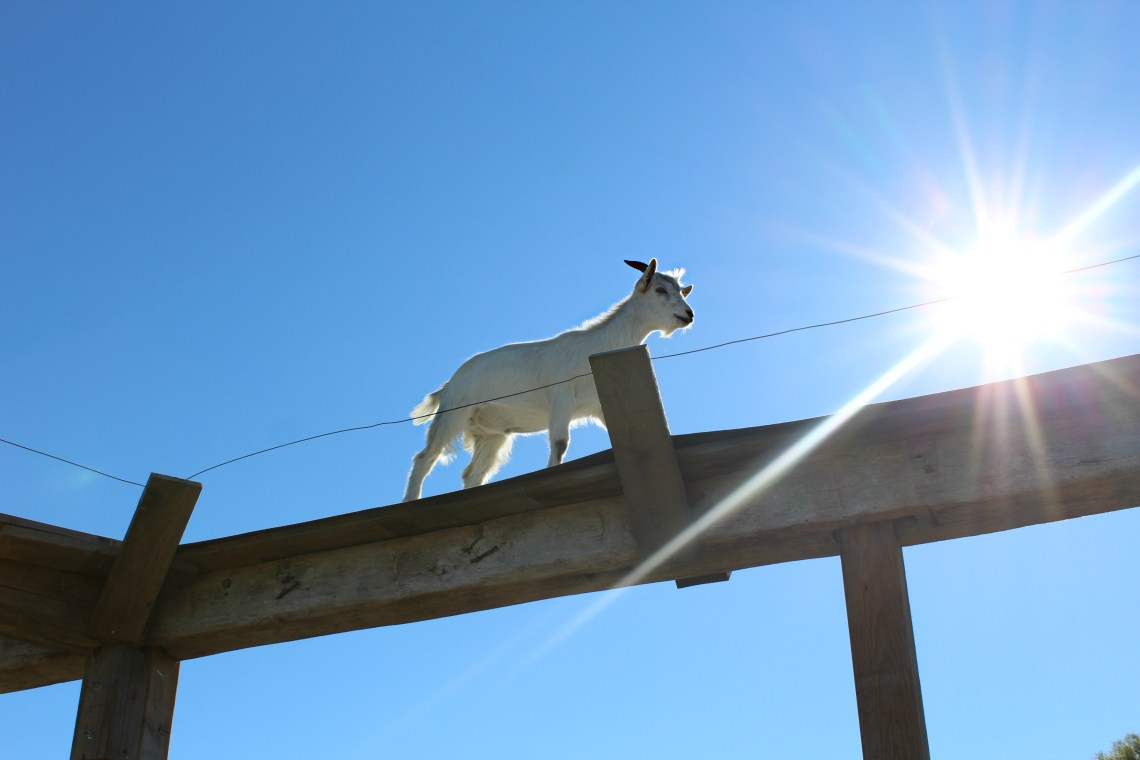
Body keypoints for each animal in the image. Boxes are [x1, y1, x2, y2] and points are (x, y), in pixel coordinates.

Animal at [403, 258, 694, 501]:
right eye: (659, 290)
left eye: (681, 291)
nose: (689, 314)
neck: (598, 345)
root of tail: (448, 385)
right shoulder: (561, 403)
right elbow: (560, 445)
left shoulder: (599, 408)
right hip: (453, 414)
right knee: (424, 458)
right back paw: (411, 500)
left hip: (493, 435)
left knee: (472, 473)